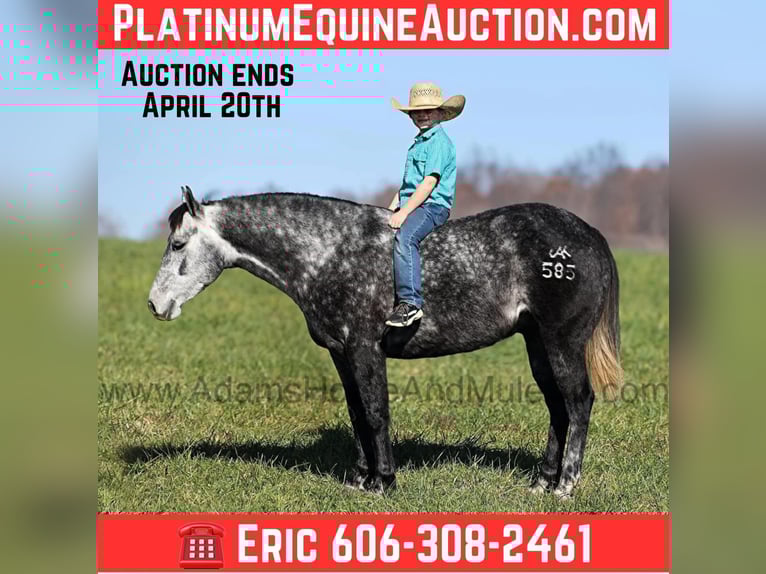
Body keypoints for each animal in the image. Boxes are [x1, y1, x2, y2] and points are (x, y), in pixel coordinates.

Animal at [148, 186, 623, 498]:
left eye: (178, 244)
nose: (155, 304)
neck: (330, 252)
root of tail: (588, 233)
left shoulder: (365, 347)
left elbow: (376, 413)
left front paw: (385, 482)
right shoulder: (341, 353)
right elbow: (357, 413)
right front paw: (361, 478)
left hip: (562, 343)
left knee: (578, 402)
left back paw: (565, 485)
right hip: (538, 345)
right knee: (558, 408)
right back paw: (542, 481)